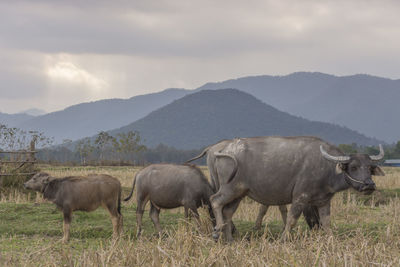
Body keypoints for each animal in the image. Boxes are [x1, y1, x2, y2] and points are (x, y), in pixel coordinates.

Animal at [189, 137, 382, 242]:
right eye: (353, 167)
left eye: (369, 167)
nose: (369, 185)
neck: (326, 167)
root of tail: (223, 149)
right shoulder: (300, 198)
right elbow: (291, 220)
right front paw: (284, 238)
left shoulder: (323, 201)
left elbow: (326, 223)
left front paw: (330, 239)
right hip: (230, 188)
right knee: (215, 201)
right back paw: (217, 232)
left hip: (239, 193)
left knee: (227, 212)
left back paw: (229, 239)